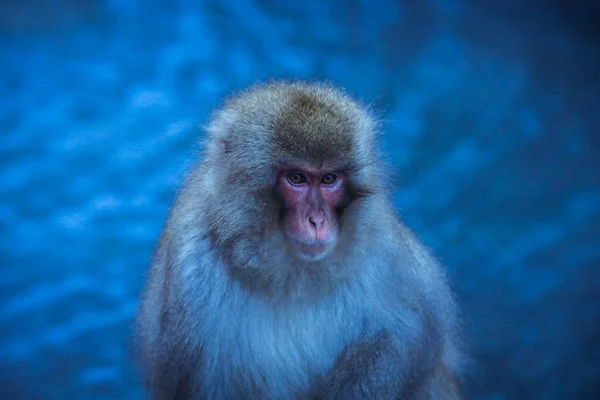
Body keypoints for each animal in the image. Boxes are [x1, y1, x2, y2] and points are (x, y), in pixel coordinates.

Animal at [134, 81, 466, 400]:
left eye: (329, 179)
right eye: (297, 178)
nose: (317, 220)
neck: (291, 277)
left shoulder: (383, 250)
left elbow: (407, 337)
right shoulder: (191, 267)